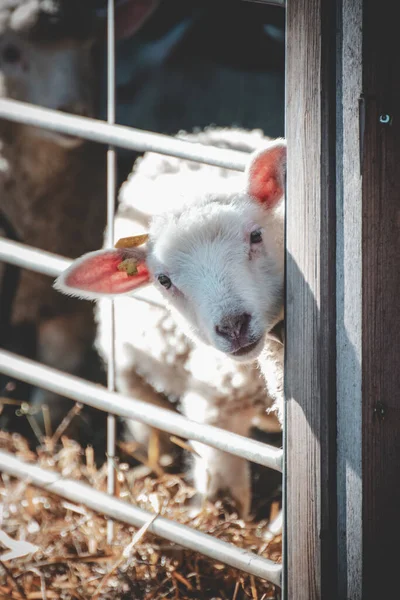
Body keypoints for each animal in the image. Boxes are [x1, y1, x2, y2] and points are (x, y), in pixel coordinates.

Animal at [55, 129, 284, 516]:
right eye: (163, 280)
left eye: (255, 235)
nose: (233, 326)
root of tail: (200, 135)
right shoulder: (214, 409)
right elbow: (224, 490)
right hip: (126, 364)